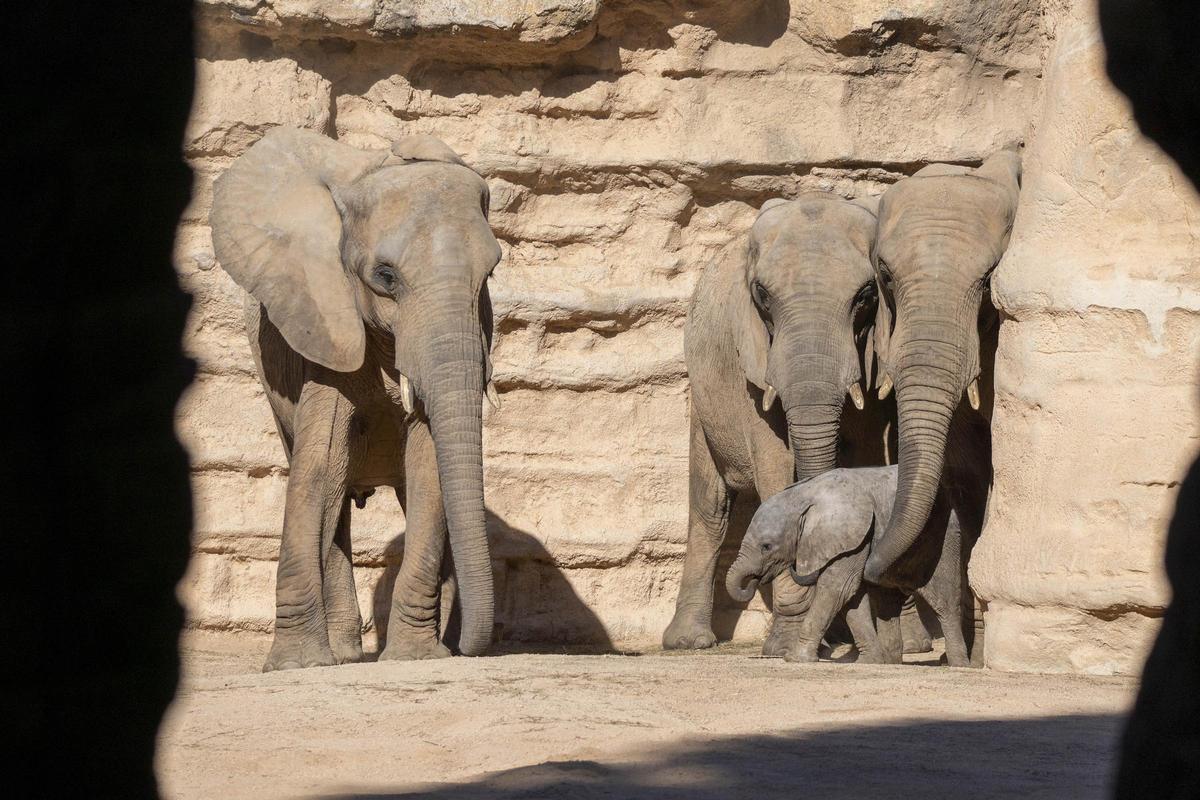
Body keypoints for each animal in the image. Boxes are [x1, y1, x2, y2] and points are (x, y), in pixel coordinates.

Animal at [210, 126, 501, 670]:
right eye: (385, 277)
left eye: (491, 274)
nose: (470, 650)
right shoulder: (323, 321)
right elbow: (320, 467)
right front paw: (297, 666)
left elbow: (429, 463)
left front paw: (415, 658)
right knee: (331, 488)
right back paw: (343, 654)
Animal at [663, 192, 894, 655]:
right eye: (762, 295)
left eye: (865, 296)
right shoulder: (751, 370)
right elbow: (776, 469)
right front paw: (787, 647)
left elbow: (864, 457)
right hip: (704, 397)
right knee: (710, 506)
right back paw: (689, 642)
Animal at [726, 466, 974, 666]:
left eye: (766, 546)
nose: (752, 582)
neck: (804, 495)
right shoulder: (852, 539)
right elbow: (852, 596)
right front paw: (869, 662)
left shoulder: (851, 536)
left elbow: (838, 588)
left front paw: (795, 659)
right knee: (887, 602)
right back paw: (890, 661)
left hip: (942, 539)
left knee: (944, 601)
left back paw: (957, 664)